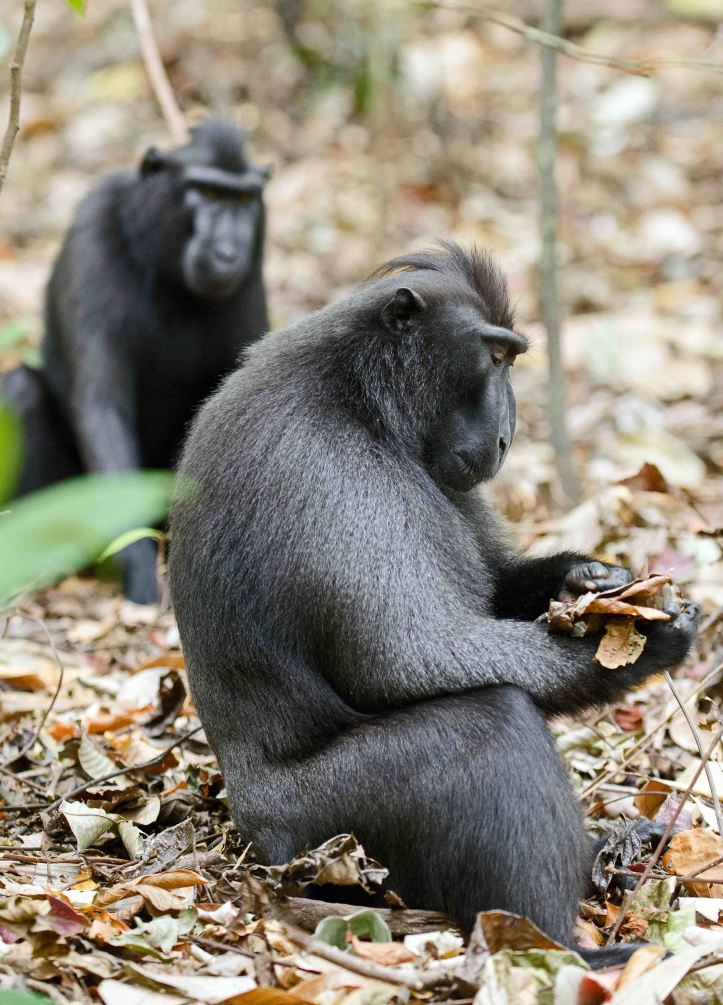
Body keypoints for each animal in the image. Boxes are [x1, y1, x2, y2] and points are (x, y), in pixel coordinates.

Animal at [0, 120, 270, 604]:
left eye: (243, 200)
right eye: (206, 192)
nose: (227, 251)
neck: (168, 276)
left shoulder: (251, 277)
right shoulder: (91, 238)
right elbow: (101, 405)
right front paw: (139, 567)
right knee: (21, 392)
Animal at [168, 242, 699, 966]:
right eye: (496, 357)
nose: (506, 435)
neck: (355, 393)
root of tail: (251, 830)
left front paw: (588, 578)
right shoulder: (331, 474)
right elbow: (399, 663)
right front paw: (626, 645)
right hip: (325, 828)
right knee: (493, 723)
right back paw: (561, 945)